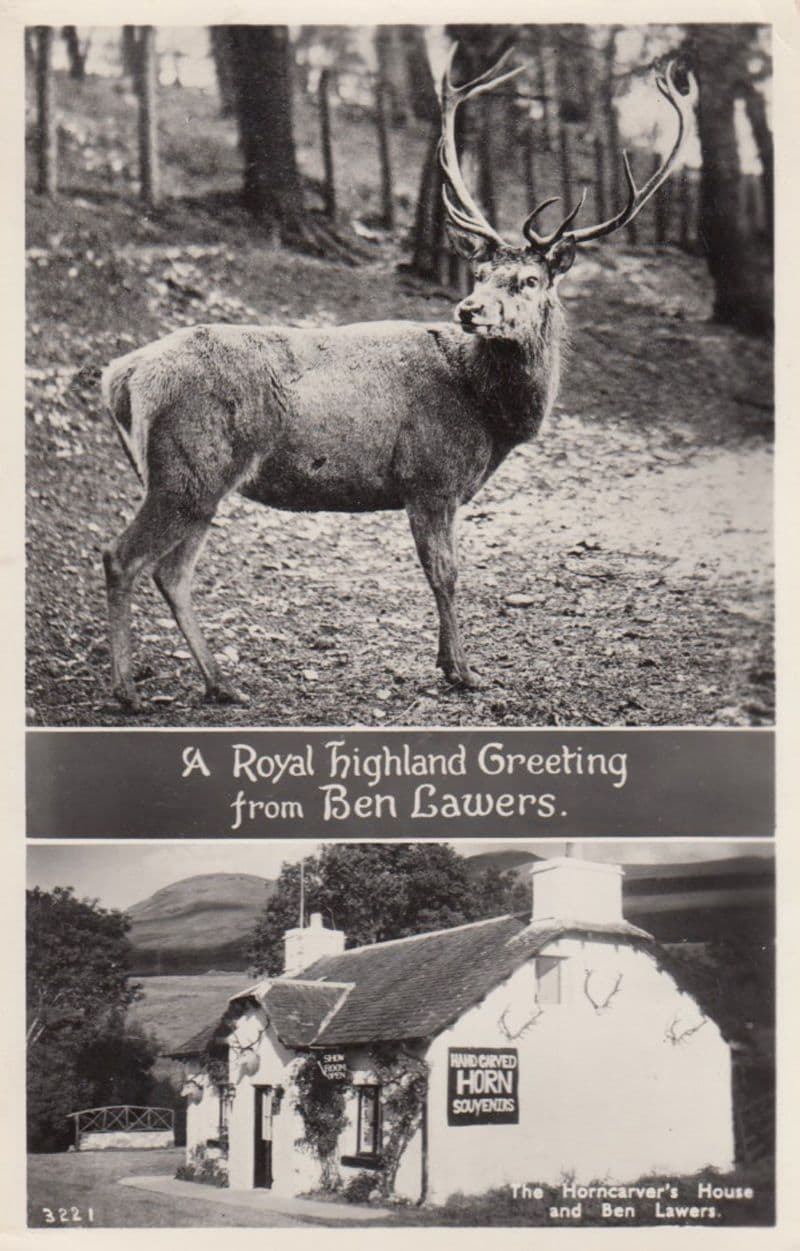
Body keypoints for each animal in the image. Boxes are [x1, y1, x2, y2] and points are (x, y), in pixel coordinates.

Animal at [101, 51, 695, 712]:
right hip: (187, 469)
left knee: (171, 571)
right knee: (121, 558)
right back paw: (128, 691)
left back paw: (222, 684)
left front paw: (450, 664)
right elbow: (446, 573)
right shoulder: (430, 476)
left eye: (528, 281)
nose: (469, 309)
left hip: (198, 482)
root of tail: (121, 375)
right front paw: (463, 670)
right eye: (479, 272)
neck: (487, 414)